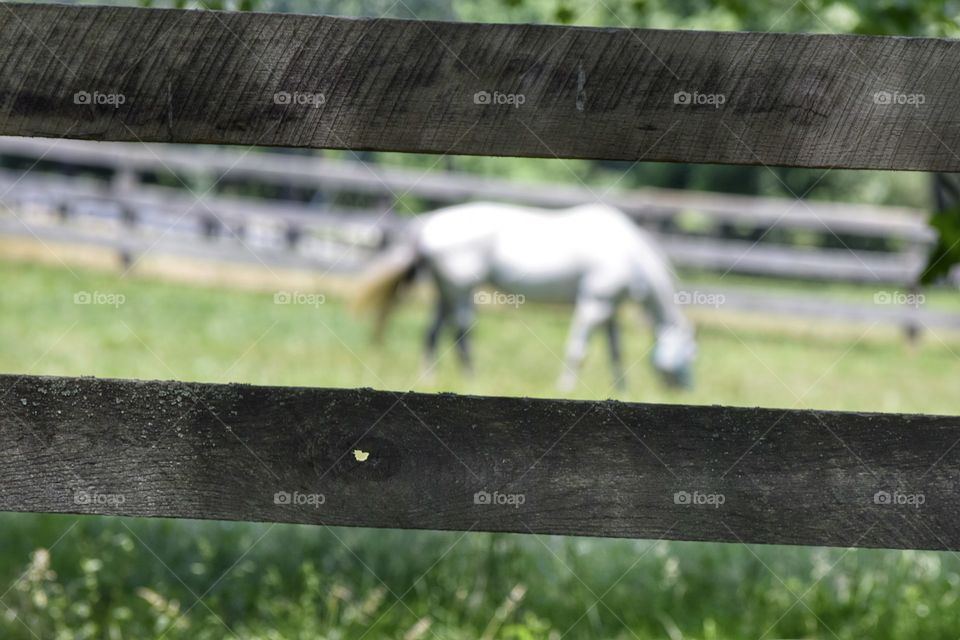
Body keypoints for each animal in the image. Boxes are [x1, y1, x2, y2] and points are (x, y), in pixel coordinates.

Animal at [353, 202, 696, 390]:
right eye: (690, 354)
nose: (686, 389)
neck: (629, 252)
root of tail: (427, 226)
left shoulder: (608, 309)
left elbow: (615, 352)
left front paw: (621, 389)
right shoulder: (595, 304)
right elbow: (579, 350)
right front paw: (566, 387)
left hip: (445, 291)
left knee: (433, 332)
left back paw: (430, 379)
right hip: (461, 291)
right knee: (461, 332)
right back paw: (473, 379)